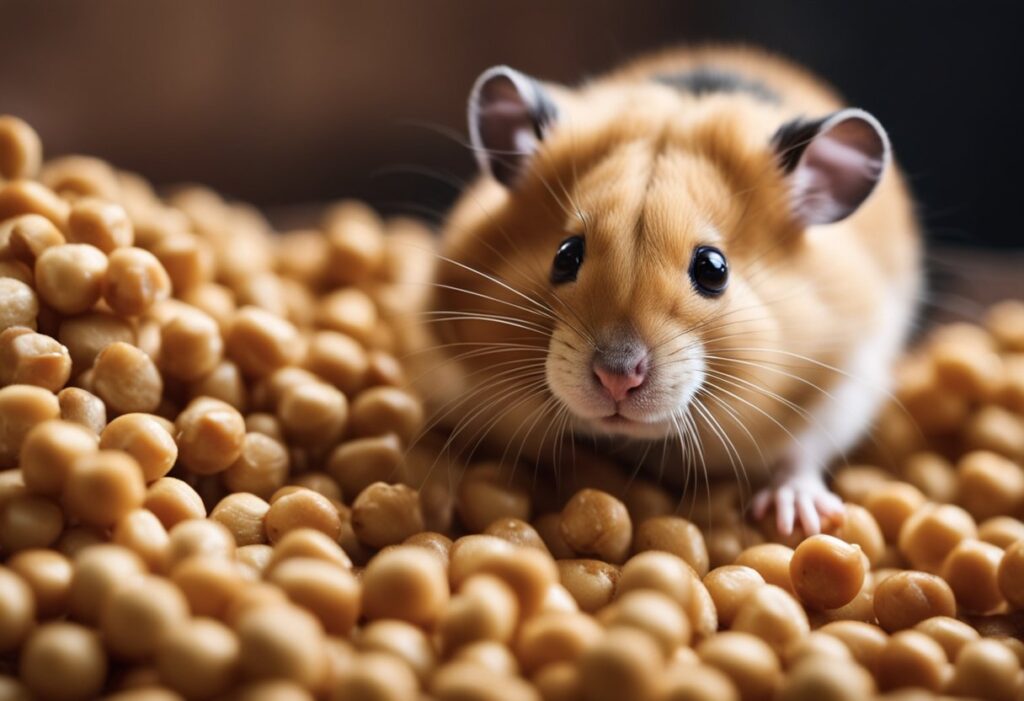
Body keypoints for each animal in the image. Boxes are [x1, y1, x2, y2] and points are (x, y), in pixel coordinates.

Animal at [422, 46, 922, 536]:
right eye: (565, 255)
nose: (617, 379)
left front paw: (797, 518)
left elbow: (803, 448)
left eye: (713, 269)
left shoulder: (850, 373)